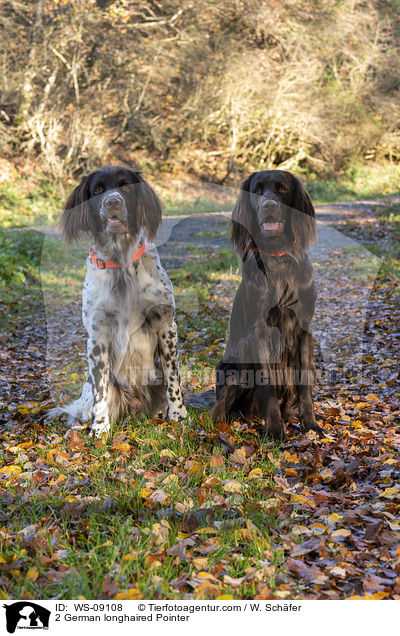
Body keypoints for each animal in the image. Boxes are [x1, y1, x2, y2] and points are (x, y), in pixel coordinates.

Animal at [49, 165, 187, 438]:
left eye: (125, 187)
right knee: (88, 404)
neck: (121, 263)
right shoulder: (97, 336)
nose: (113, 202)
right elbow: (100, 392)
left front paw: (178, 414)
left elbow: (173, 378)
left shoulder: (166, 325)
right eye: (98, 189)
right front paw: (100, 430)